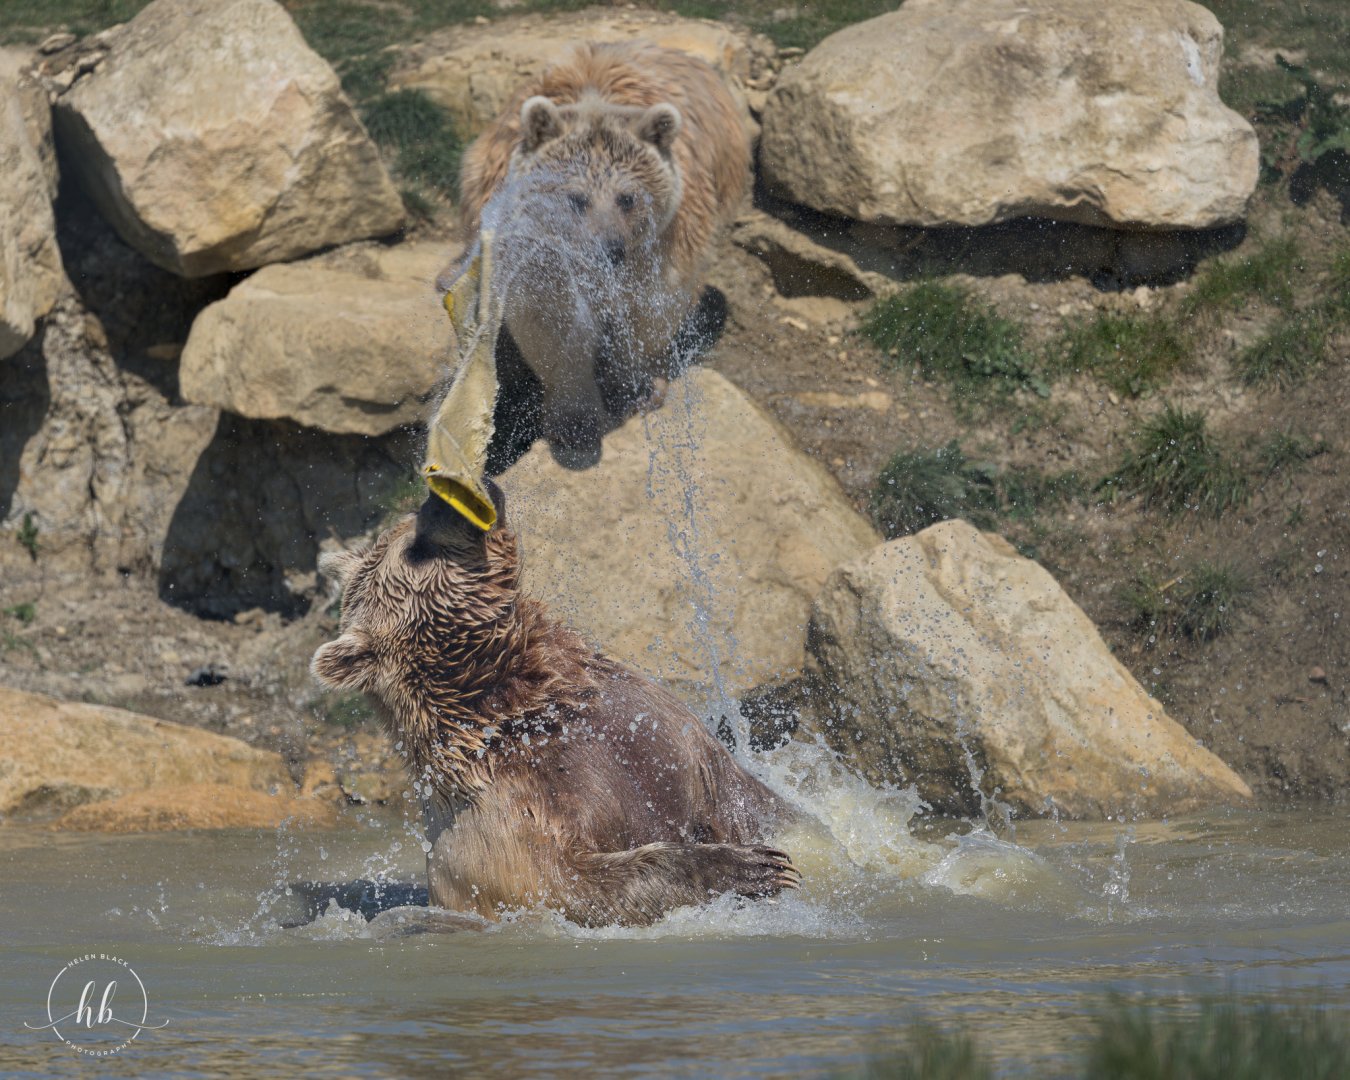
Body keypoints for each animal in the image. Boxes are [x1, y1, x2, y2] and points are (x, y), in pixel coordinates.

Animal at [311, 486, 799, 927]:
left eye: (411, 522)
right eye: (413, 548)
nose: (440, 499)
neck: (509, 708)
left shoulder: (663, 733)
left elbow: (748, 800)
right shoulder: (514, 827)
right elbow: (577, 885)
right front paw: (751, 866)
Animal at [454, 41, 751, 471]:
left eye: (627, 198)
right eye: (576, 198)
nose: (608, 249)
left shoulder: (665, 241)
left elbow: (650, 311)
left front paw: (637, 387)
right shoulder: (533, 252)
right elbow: (551, 323)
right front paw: (574, 422)